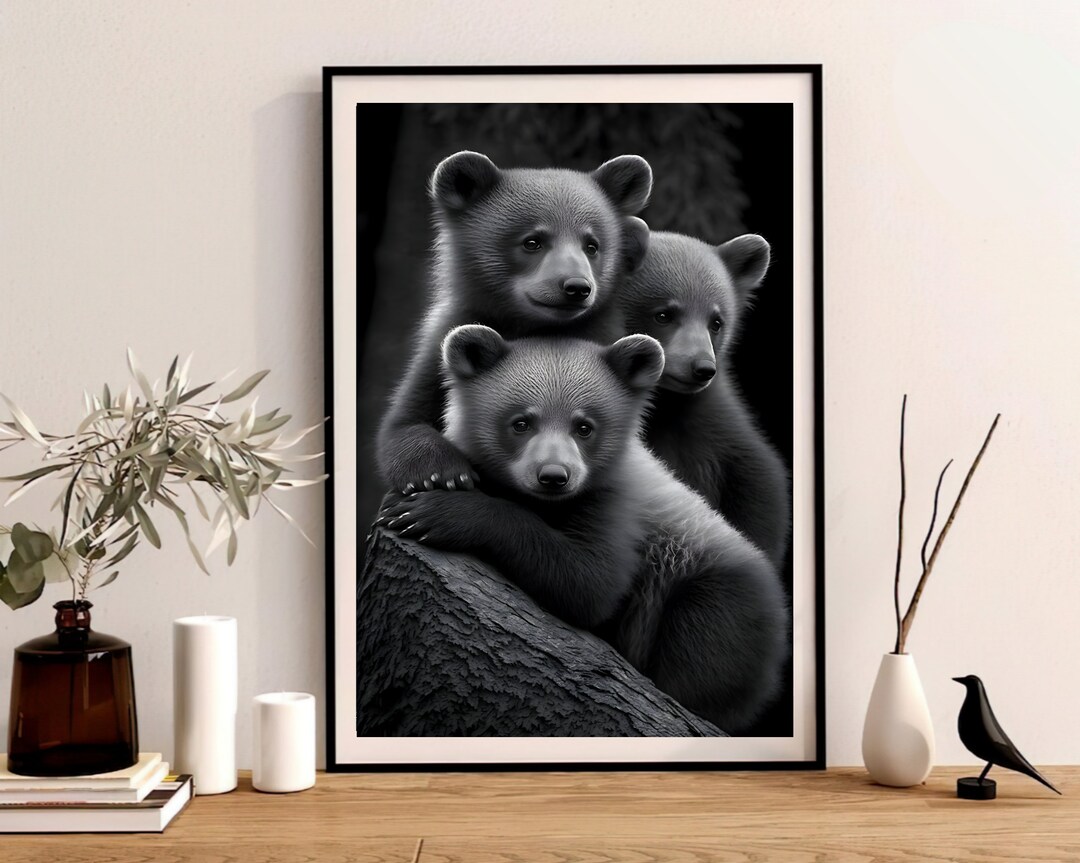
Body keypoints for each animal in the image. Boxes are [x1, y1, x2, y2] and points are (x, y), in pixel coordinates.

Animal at [376, 150, 652, 496]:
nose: (576, 287)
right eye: (532, 241)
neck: (534, 327)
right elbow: (405, 421)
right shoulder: (444, 342)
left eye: (592, 245)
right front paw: (442, 472)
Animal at [378, 324, 788, 732]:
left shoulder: (616, 502)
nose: (553, 476)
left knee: (702, 651)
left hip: (716, 588)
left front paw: (435, 512)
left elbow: (592, 585)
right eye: (521, 422)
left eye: (585, 427)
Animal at [618, 230, 791, 568]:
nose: (701, 368)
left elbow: (759, 482)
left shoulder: (711, 426)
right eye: (663, 314)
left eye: (716, 321)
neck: (665, 406)